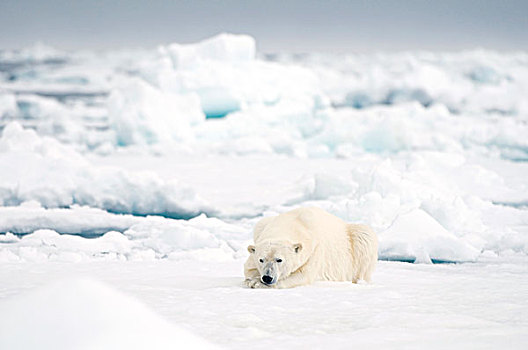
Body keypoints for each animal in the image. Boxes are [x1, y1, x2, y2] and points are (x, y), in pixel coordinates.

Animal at [245, 206, 378, 288]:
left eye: (279, 259)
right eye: (261, 259)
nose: (267, 277)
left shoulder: (314, 250)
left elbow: (303, 275)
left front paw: (257, 283)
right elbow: (248, 268)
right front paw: (253, 280)